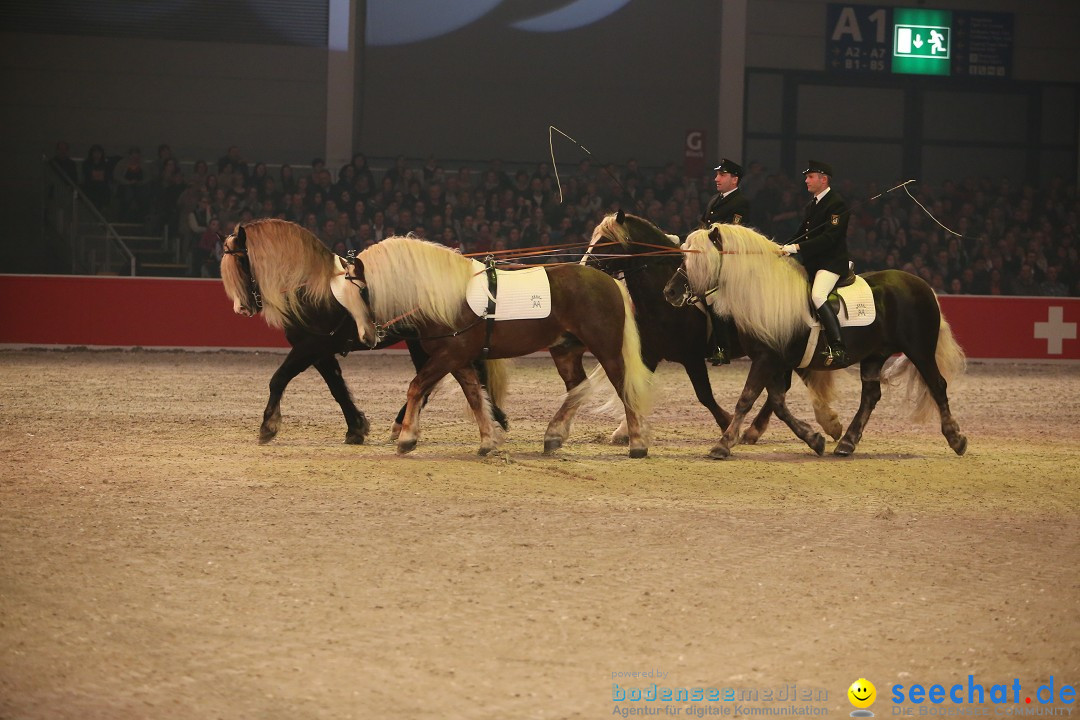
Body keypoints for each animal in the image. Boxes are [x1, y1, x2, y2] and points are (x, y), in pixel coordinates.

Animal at [220, 218, 509, 444]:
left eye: (242, 261)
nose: (241, 308)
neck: (310, 287)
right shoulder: (321, 351)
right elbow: (336, 387)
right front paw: (356, 428)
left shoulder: (309, 347)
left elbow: (279, 379)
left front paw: (268, 426)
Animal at [345, 239, 652, 459]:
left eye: (362, 291)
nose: (366, 337)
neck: (445, 296)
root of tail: (609, 280)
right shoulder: (459, 360)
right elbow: (474, 396)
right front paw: (488, 441)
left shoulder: (449, 356)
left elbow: (416, 386)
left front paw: (407, 438)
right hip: (565, 350)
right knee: (578, 387)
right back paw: (554, 435)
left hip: (606, 349)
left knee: (622, 387)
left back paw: (637, 443)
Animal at [583, 209, 842, 444]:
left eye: (606, 241)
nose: (584, 266)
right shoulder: (650, 354)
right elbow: (632, 390)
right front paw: (624, 431)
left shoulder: (691, 357)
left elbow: (704, 395)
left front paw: (727, 424)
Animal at [660, 222, 967, 459]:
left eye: (697, 259)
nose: (670, 292)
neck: (763, 294)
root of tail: (923, 285)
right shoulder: (775, 361)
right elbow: (778, 403)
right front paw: (814, 439)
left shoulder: (767, 359)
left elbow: (747, 399)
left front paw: (723, 444)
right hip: (874, 355)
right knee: (870, 396)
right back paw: (846, 443)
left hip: (920, 350)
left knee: (937, 385)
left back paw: (956, 439)